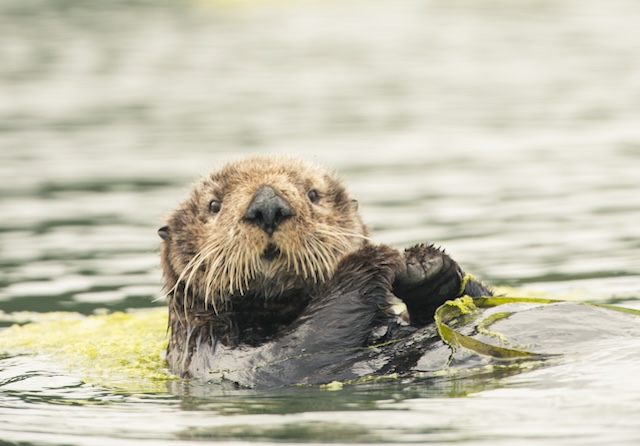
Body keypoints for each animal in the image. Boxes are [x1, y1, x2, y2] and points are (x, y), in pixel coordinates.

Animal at [159, 155, 491, 388]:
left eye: (313, 194)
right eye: (214, 205)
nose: (268, 207)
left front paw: (427, 268)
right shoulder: (215, 354)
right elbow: (294, 352)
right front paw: (373, 257)